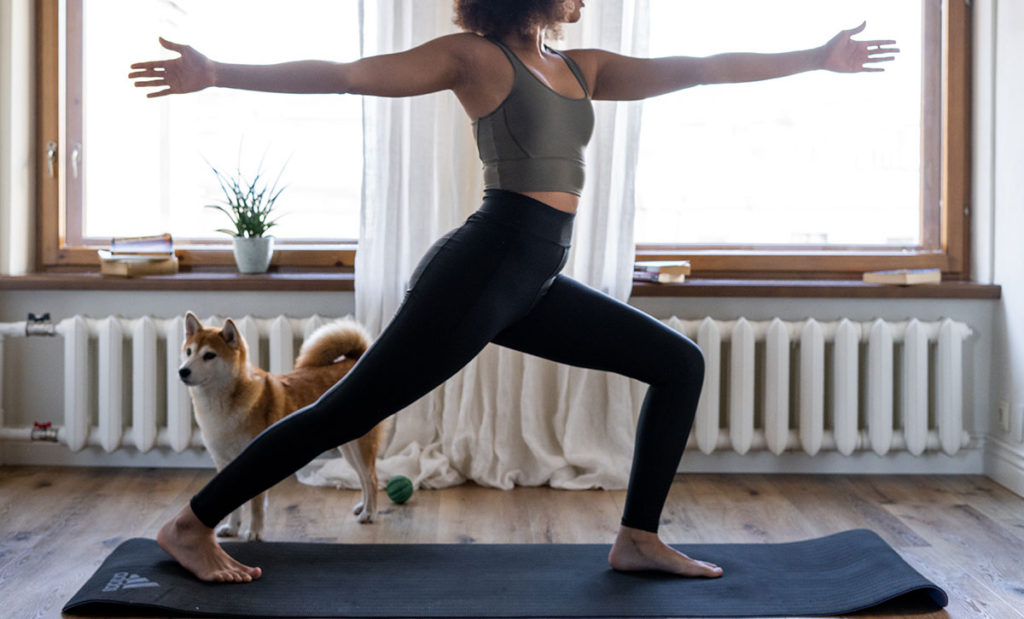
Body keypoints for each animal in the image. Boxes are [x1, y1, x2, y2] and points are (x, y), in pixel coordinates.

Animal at [178, 311, 389, 541]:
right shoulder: (224, 463)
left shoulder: (254, 459)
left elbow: (256, 506)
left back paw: (370, 513)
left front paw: (254, 532)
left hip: (361, 446)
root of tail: (355, 360)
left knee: (371, 478)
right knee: (363, 477)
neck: (220, 408)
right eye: (188, 351)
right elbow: (232, 502)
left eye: (209, 355)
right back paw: (362, 507)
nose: (182, 371)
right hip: (349, 448)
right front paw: (232, 528)